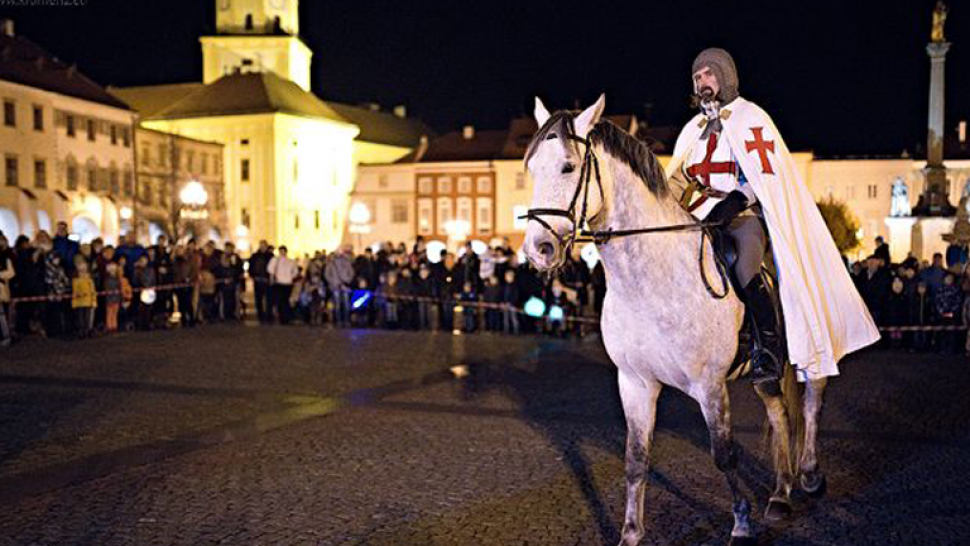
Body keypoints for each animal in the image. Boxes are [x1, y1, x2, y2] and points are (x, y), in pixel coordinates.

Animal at [520, 95, 824, 544]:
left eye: (568, 167)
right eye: (531, 168)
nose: (538, 250)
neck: (651, 283)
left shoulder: (710, 386)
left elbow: (724, 455)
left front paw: (741, 524)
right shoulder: (635, 383)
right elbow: (636, 458)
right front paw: (631, 533)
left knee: (811, 404)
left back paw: (809, 475)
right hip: (765, 372)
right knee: (779, 412)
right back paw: (781, 495)